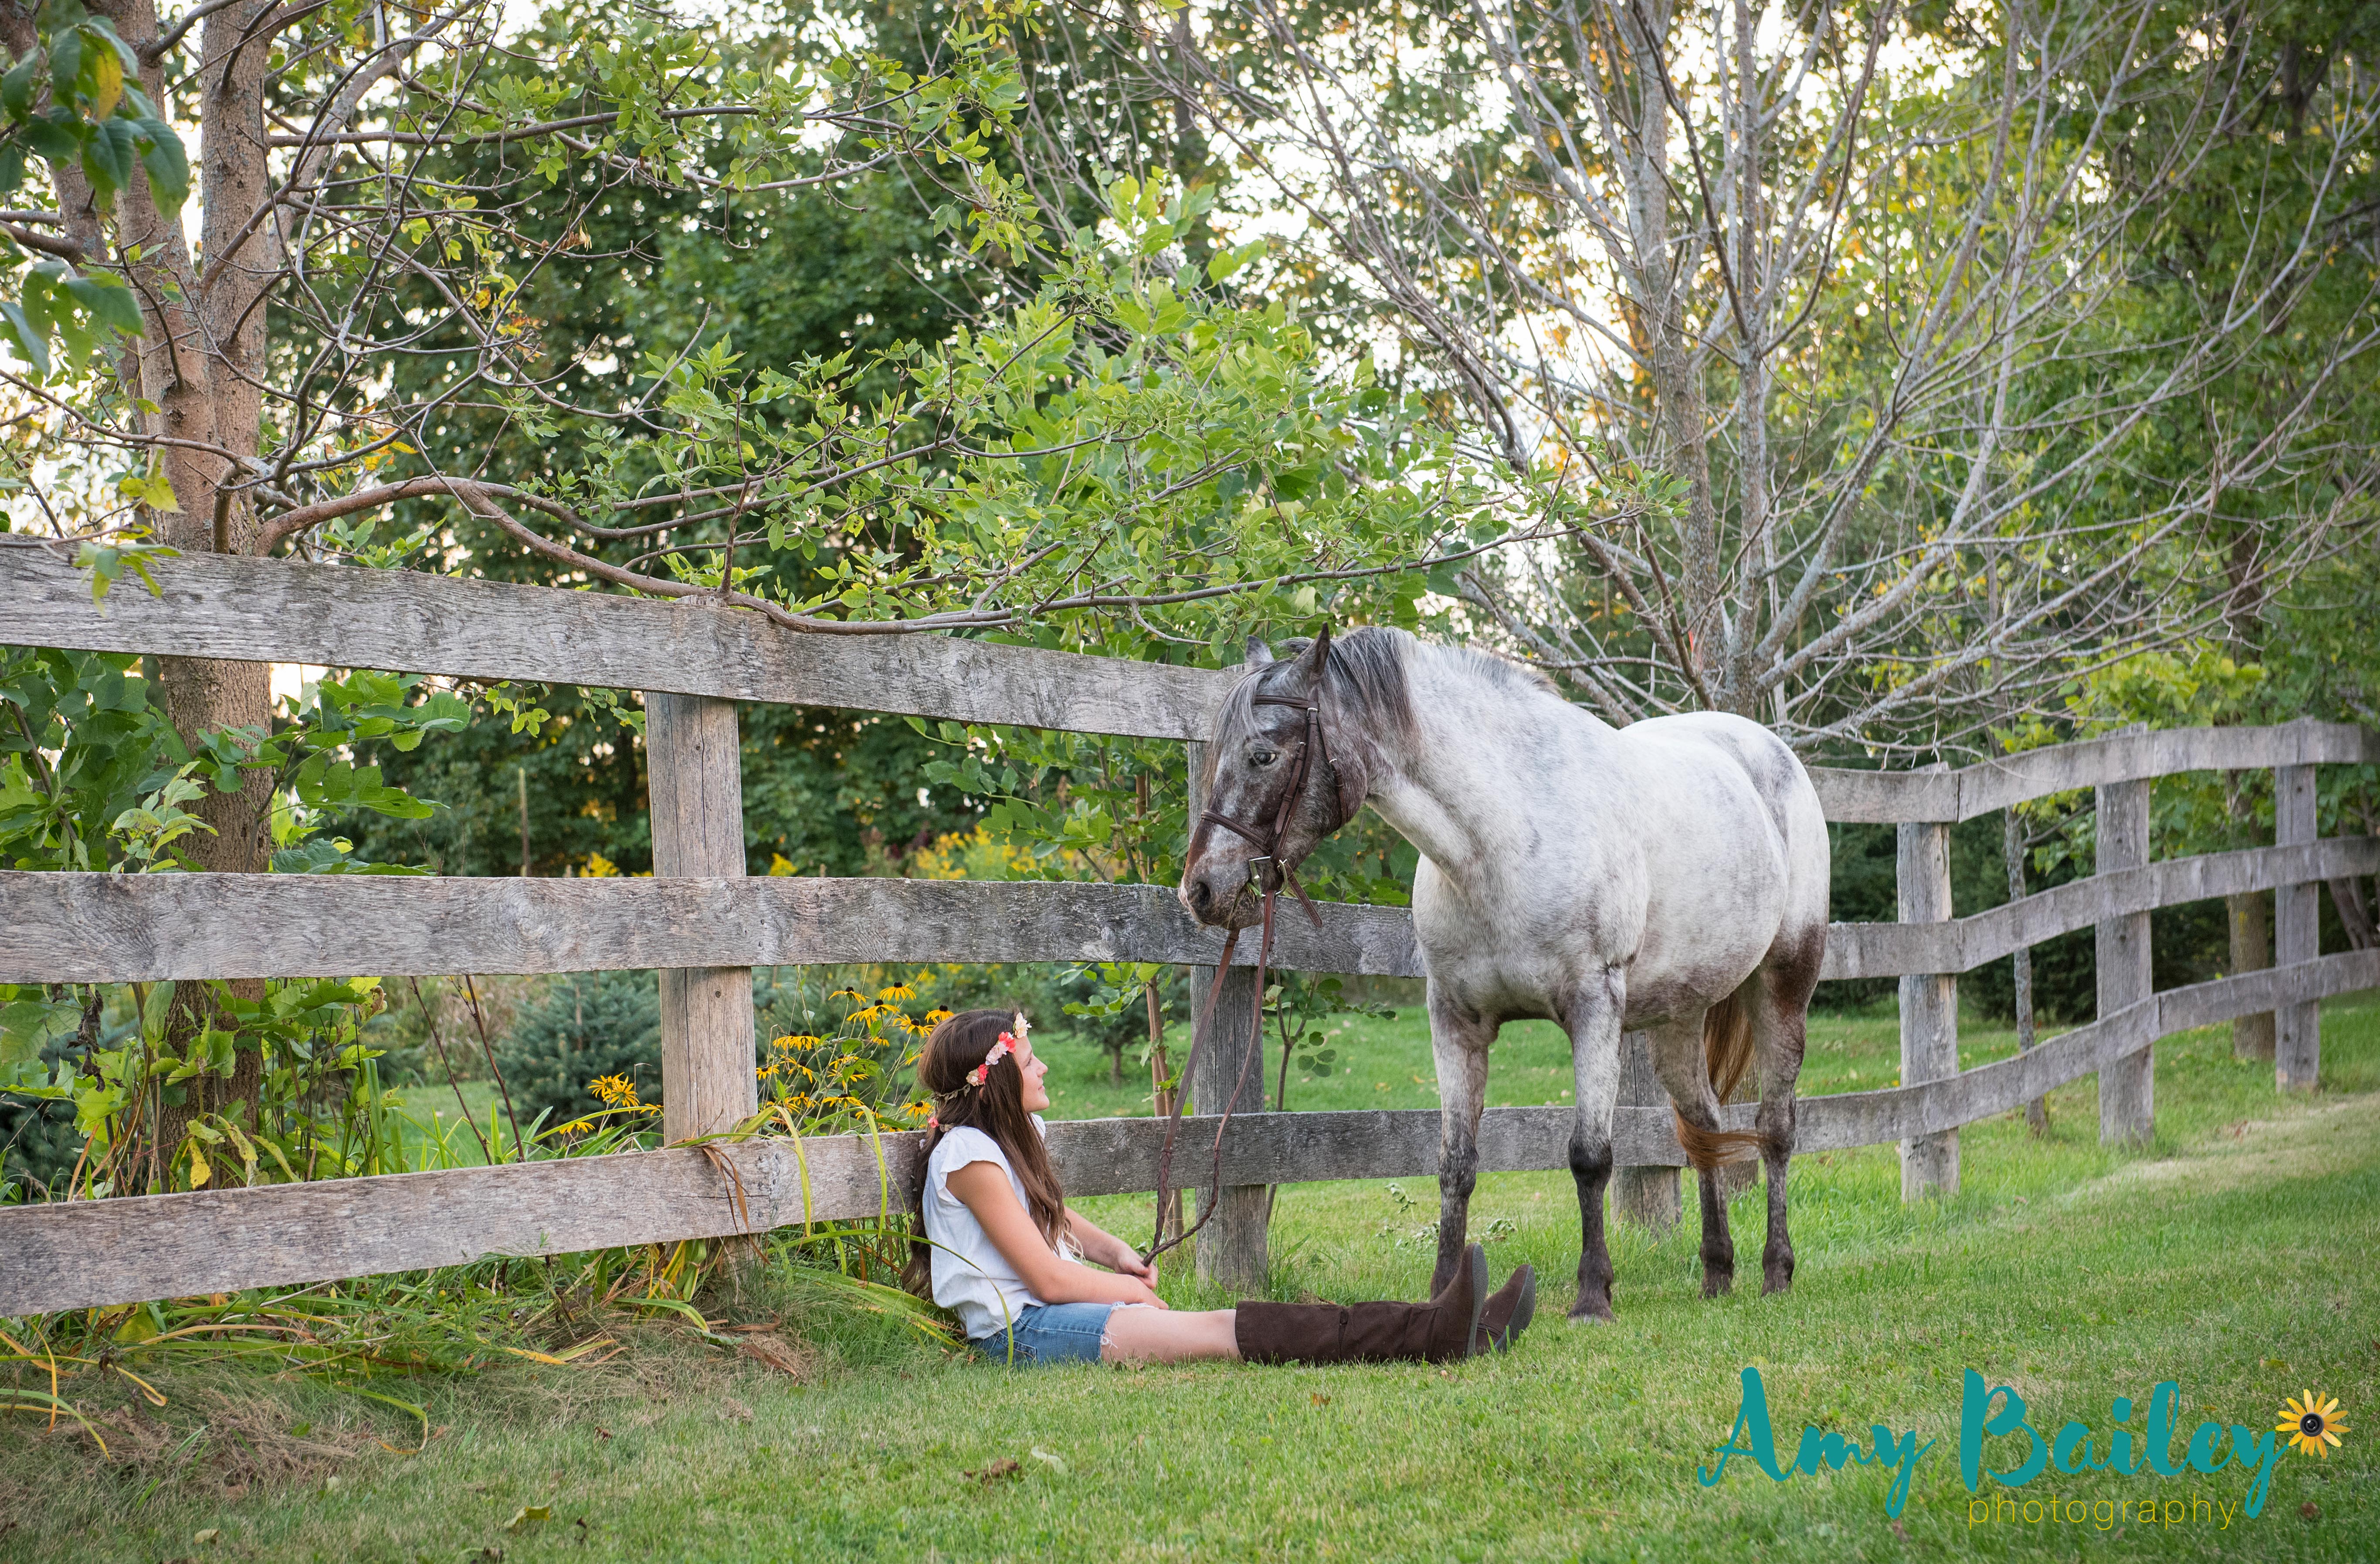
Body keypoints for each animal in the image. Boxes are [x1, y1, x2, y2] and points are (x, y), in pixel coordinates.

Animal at [1178, 626, 1830, 1319]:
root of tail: (1766, 750)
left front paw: (1592, 1296)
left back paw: (1775, 1271)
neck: (1504, 839)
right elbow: (1455, 1164)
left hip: (1783, 986)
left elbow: (1589, 1157)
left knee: (1775, 1129)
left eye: (1262, 755)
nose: (1201, 890)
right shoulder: (1455, 1021)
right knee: (1703, 1123)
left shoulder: (1594, 1009)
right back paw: (1715, 1272)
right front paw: (1442, 1295)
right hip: (1677, 1016)